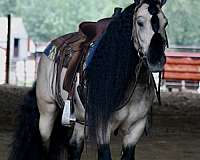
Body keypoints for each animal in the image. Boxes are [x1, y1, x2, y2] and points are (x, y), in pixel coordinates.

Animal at [7, 0, 168, 160]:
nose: (156, 60)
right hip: (47, 112)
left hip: (79, 118)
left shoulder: (136, 128)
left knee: (75, 146)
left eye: (165, 23)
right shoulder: (102, 127)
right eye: (140, 22)